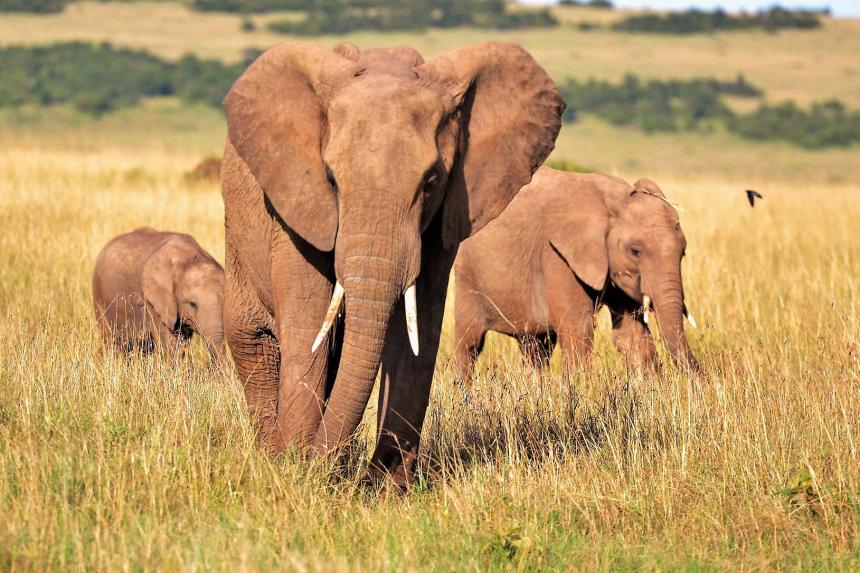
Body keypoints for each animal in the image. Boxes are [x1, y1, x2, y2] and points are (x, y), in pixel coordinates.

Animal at [218, 41, 560, 488]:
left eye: (431, 181)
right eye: (331, 179)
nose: (316, 464)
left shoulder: (445, 217)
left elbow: (418, 332)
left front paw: (386, 488)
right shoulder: (295, 207)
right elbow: (309, 326)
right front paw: (296, 472)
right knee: (254, 342)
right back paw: (271, 457)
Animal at [456, 165, 700, 380]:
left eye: (683, 253)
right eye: (635, 251)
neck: (614, 201)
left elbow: (631, 335)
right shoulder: (557, 254)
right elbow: (578, 330)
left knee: (536, 348)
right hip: (467, 272)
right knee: (470, 344)